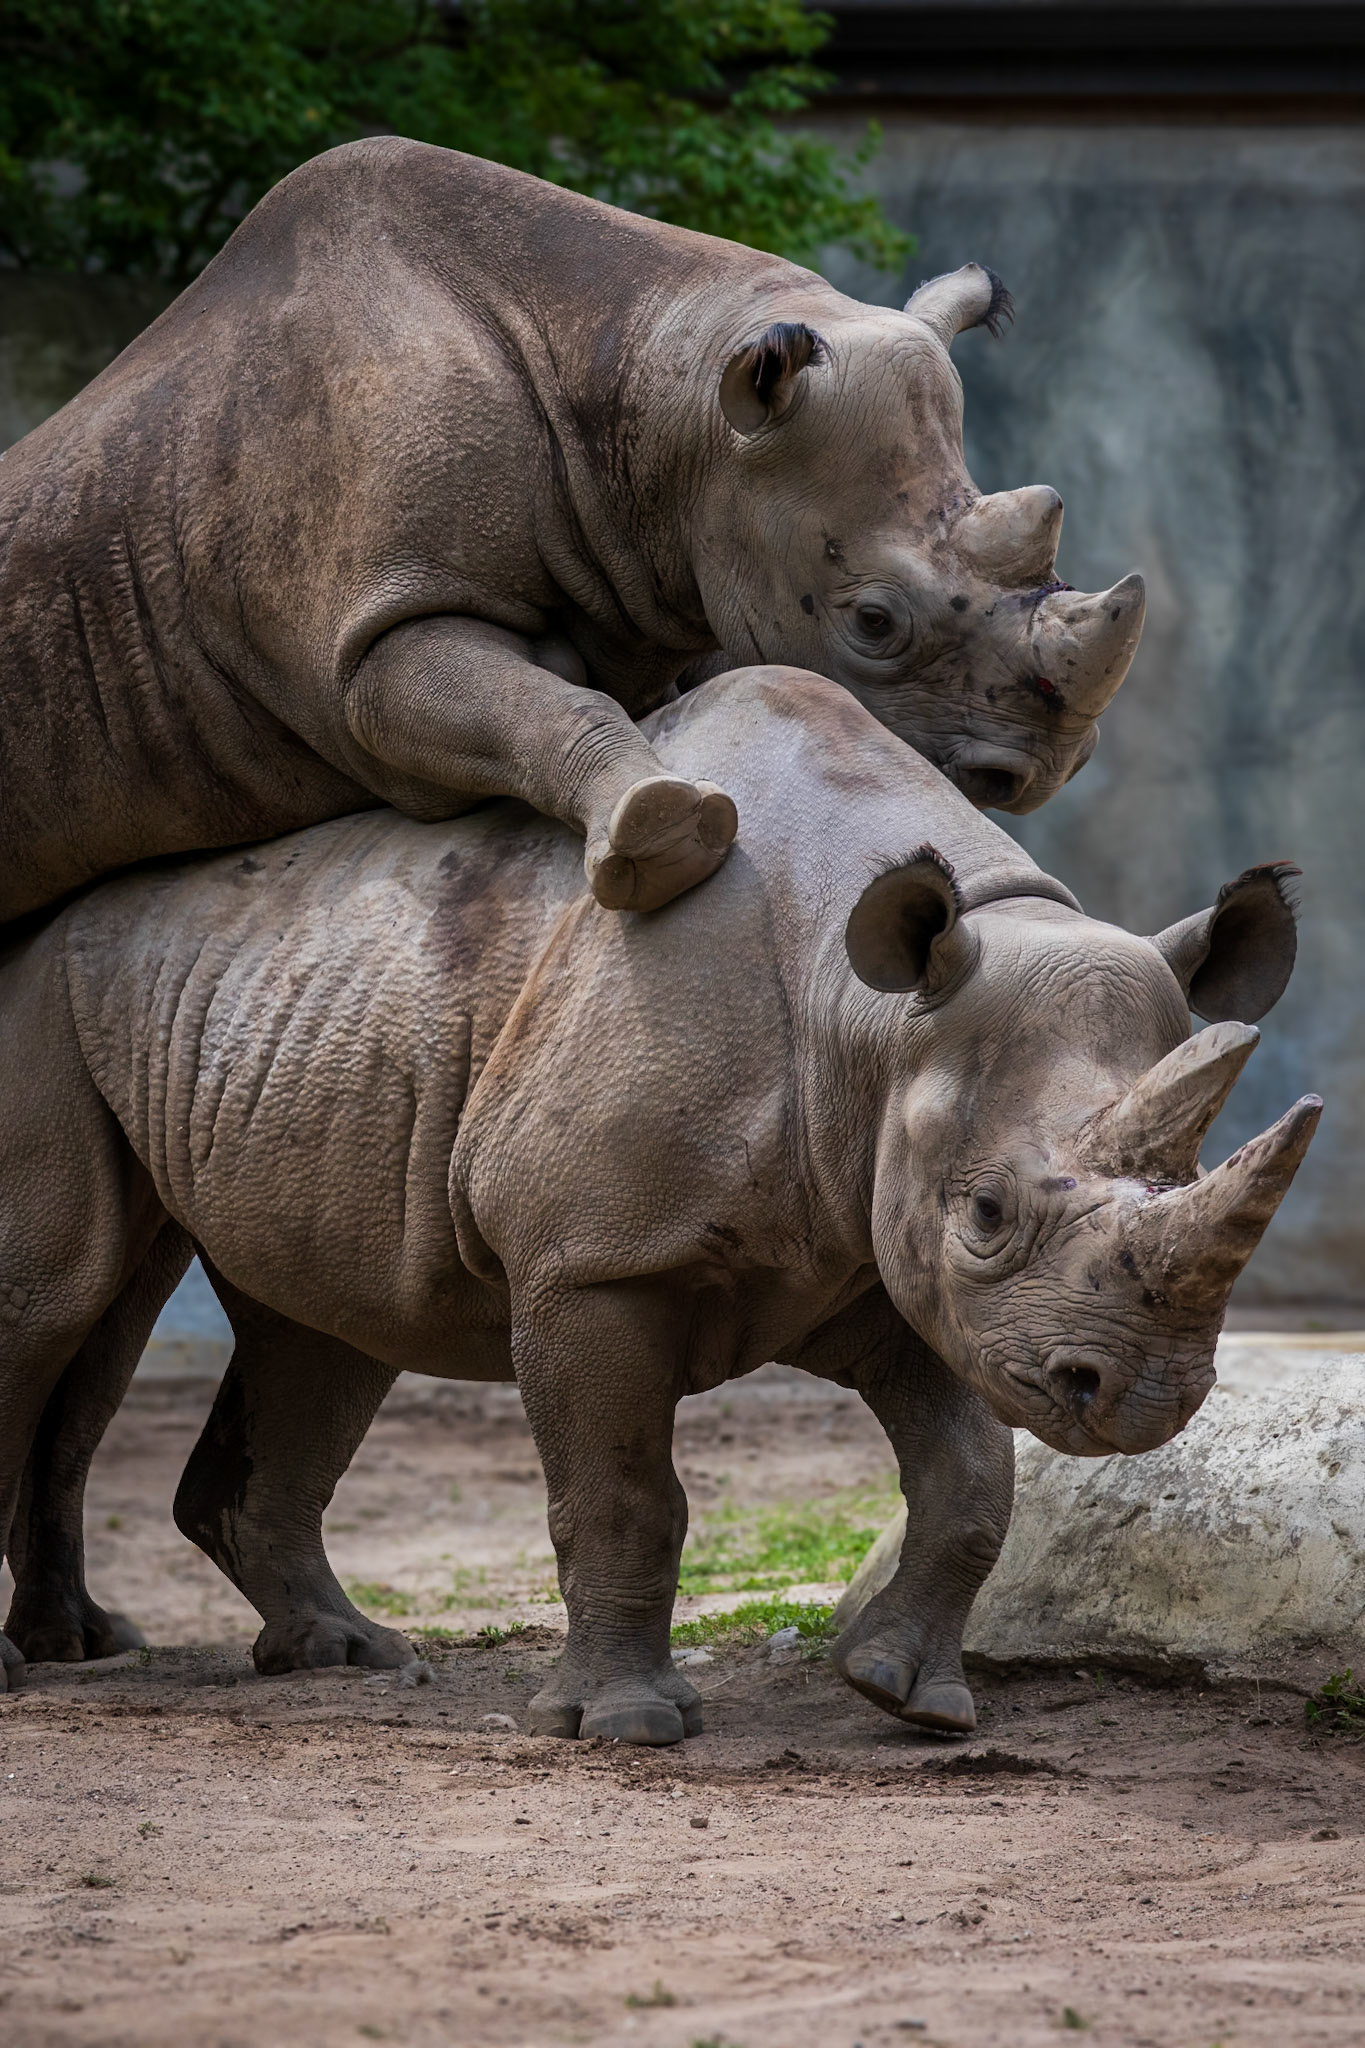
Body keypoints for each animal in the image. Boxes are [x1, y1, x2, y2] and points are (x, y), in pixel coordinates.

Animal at [0, 138, 1143, 927]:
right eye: (872, 622)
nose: (1037, 776)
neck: (666, 394)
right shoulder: (375, 632)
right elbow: (535, 699)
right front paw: (663, 834)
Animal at [0, 671, 1313, 1741]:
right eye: (987, 1211)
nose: (1144, 1399)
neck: (876, 1019)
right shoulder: (591, 1259)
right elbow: (626, 1490)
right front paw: (626, 1727)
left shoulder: (878, 1249)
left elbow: (972, 1477)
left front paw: (910, 1697)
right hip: (50, 994)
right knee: (60, 1306)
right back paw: (57, 1668)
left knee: (319, 1333)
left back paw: (346, 1656)